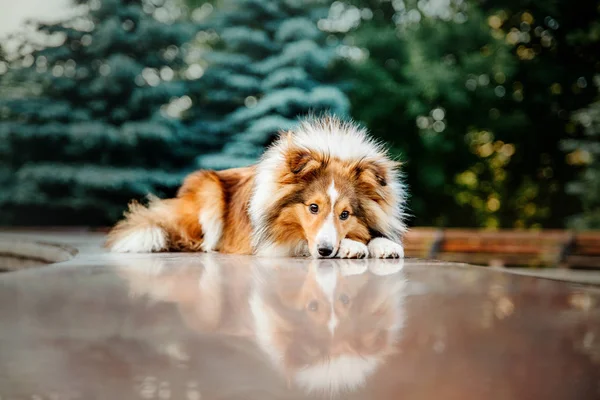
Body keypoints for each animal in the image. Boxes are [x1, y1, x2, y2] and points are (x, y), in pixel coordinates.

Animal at [108, 115, 408, 260]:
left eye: (345, 214)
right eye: (313, 207)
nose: (325, 251)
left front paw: (383, 245)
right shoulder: (277, 241)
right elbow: (304, 240)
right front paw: (351, 246)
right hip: (208, 191)